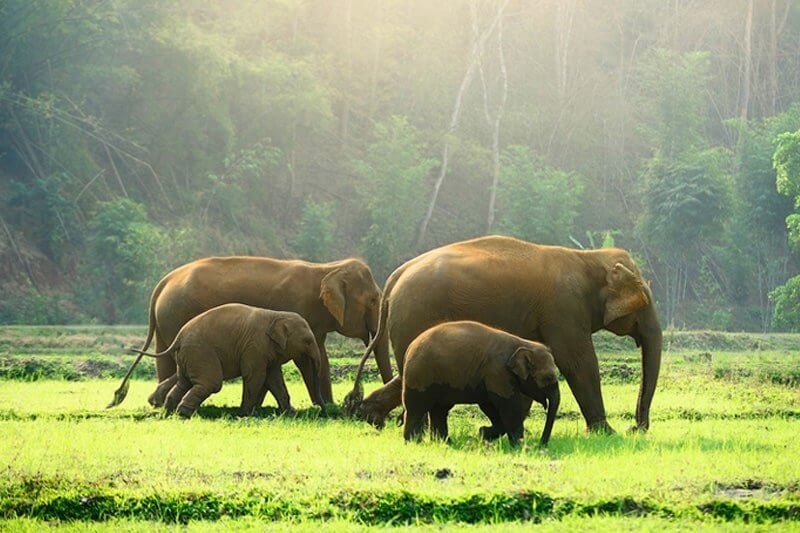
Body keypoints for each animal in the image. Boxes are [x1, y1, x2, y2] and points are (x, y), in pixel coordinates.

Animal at [123, 304, 320, 416]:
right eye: (307, 341)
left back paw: (170, 412)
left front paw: (291, 414)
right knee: (212, 383)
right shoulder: (254, 347)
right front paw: (244, 414)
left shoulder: (265, 351)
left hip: (188, 356)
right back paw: (183, 413)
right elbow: (255, 377)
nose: (322, 410)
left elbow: (274, 379)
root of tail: (178, 338)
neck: (276, 314)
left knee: (184, 382)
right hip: (201, 353)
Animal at [404, 320, 560, 444]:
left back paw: (445, 443)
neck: (522, 343)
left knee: (439, 410)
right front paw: (519, 446)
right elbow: (507, 405)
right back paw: (413, 443)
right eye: (548, 378)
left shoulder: (490, 376)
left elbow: (489, 405)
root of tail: (410, 347)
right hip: (419, 375)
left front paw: (483, 434)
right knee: (416, 409)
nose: (541, 445)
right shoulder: (497, 372)